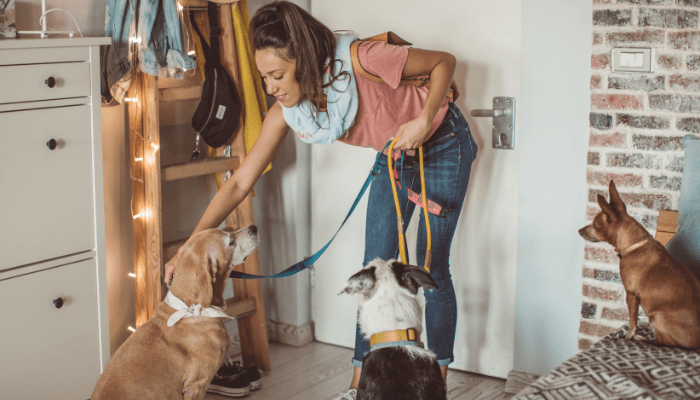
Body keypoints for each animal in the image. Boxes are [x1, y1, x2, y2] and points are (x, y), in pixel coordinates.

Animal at [580, 181, 700, 350]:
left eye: (595, 226)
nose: (579, 231)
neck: (634, 245)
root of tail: (697, 346)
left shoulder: (631, 295)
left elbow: (632, 324)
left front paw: (627, 338)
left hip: (656, 318)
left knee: (663, 344)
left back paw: (641, 339)